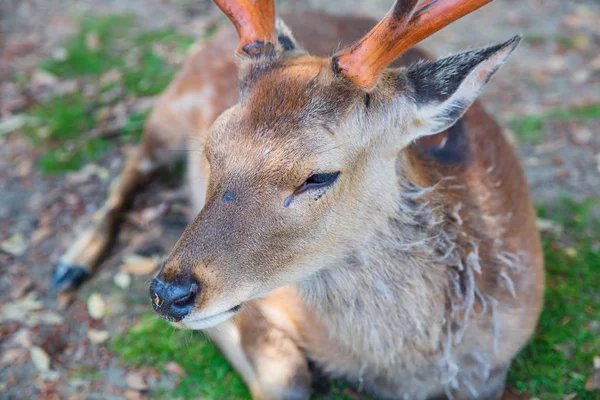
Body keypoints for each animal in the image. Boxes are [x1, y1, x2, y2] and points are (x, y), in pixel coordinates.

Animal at [54, 0, 548, 398]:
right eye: (211, 148)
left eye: (318, 176)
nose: (167, 294)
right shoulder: (265, 304)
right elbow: (287, 377)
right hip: (170, 107)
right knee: (133, 165)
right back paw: (69, 264)